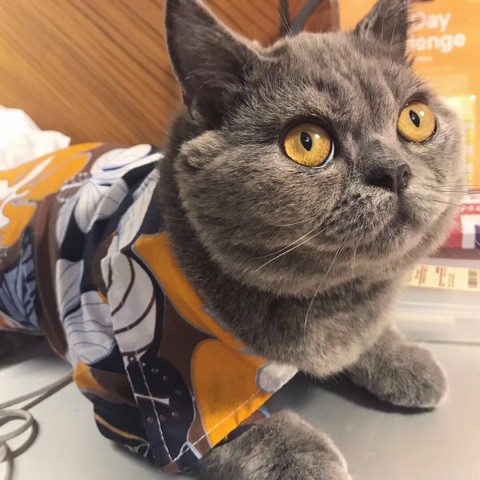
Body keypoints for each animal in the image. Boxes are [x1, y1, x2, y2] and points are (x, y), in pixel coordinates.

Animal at [159, 0, 465, 478]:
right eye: (306, 142)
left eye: (416, 119)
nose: (393, 171)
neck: (332, 299)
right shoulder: (163, 373)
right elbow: (222, 432)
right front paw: (301, 458)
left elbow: (371, 334)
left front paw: (405, 361)